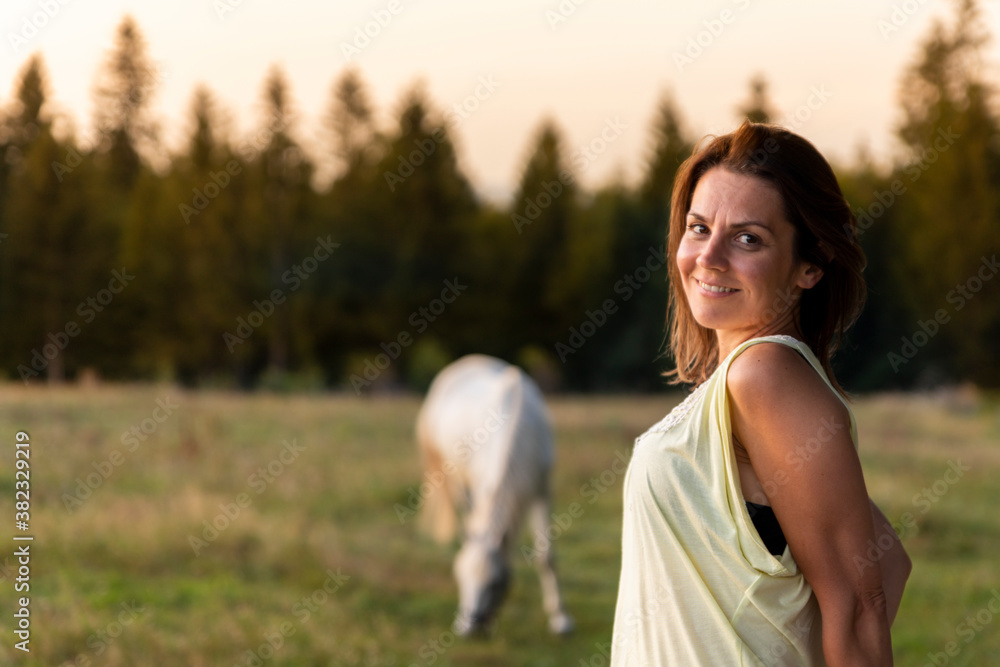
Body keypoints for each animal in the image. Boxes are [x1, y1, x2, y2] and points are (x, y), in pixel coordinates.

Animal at [415, 354, 574, 636]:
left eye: (495, 583)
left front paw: (560, 619)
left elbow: (546, 556)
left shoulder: (543, 490)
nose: (468, 629)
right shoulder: (483, 485)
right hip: (458, 480)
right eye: (459, 577)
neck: (518, 427)